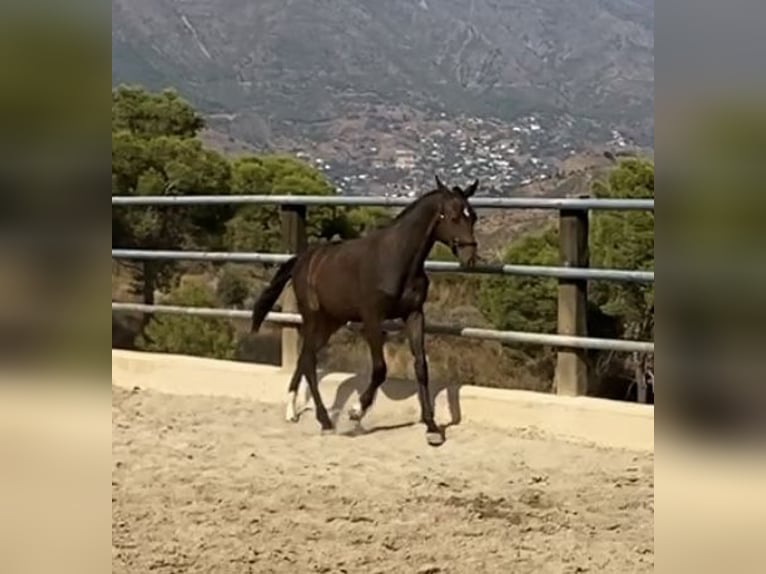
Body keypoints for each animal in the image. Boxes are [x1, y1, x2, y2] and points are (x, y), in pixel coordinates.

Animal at [250, 175, 479, 446]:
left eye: (473, 216)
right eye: (453, 217)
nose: (470, 257)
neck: (396, 260)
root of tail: (303, 259)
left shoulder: (414, 315)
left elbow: (421, 366)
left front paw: (432, 428)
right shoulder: (372, 318)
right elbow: (380, 369)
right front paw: (356, 411)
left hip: (330, 323)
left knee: (305, 358)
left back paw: (291, 411)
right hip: (313, 317)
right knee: (308, 360)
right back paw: (325, 422)